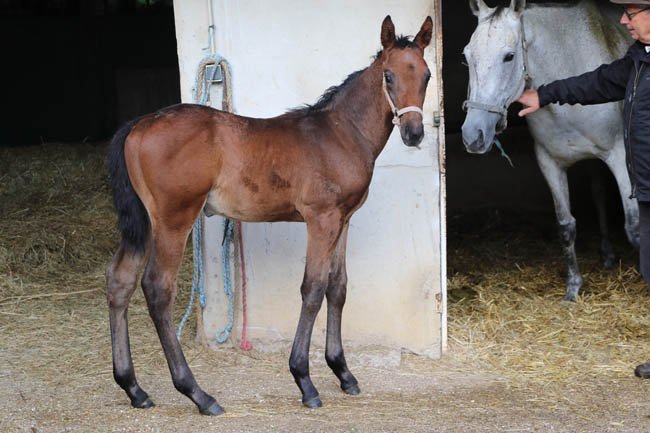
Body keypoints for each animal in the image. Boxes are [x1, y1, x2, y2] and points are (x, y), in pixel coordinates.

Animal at [105, 15, 433, 415]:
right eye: (388, 75)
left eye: (427, 76)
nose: (414, 133)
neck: (340, 133)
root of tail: (137, 126)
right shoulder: (321, 219)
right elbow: (313, 288)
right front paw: (304, 380)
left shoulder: (344, 220)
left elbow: (338, 287)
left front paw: (343, 372)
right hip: (173, 220)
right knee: (157, 289)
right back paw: (197, 393)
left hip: (144, 224)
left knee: (120, 281)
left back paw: (134, 388)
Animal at [460, 0, 639, 302]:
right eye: (467, 55)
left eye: (509, 56)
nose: (473, 135)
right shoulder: (550, 163)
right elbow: (566, 226)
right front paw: (573, 287)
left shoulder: (619, 156)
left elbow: (634, 226)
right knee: (599, 194)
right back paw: (606, 255)